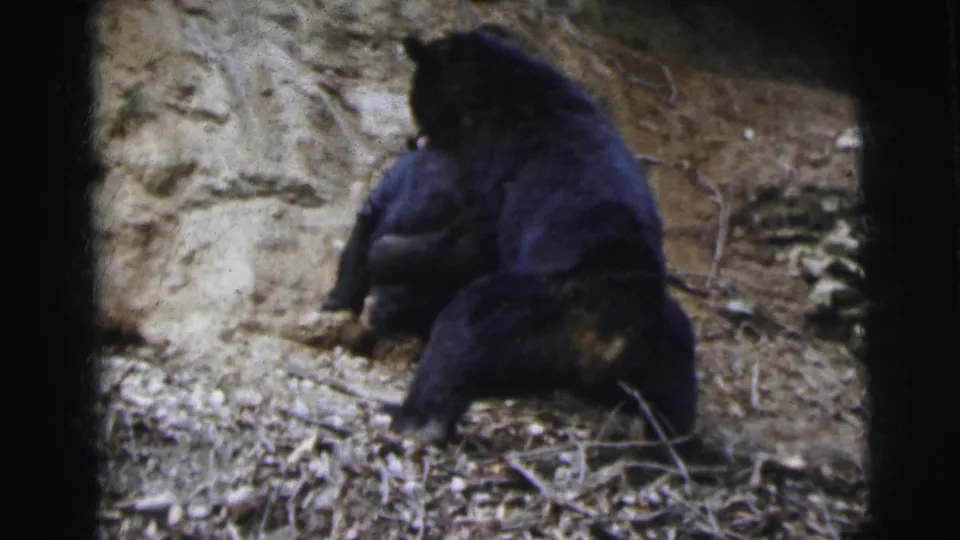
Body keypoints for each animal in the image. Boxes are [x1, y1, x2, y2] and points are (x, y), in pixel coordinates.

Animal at [378, 28, 699, 445]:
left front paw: (388, 261)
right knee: (679, 381)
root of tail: (608, 335)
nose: (412, 137)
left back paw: (412, 417)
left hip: (529, 311)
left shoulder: (499, 168)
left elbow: (470, 243)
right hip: (665, 340)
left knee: (462, 326)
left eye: (416, 97)